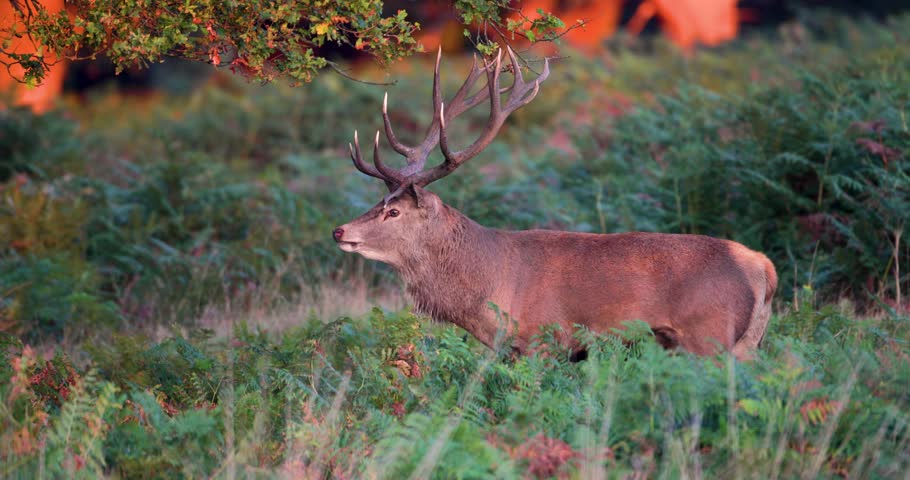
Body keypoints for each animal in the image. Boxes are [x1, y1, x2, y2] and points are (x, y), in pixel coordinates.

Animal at [333, 47, 777, 361]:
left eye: (394, 211)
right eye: (379, 200)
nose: (340, 230)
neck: (492, 289)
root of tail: (764, 268)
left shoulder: (543, 339)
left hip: (710, 334)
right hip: (747, 342)